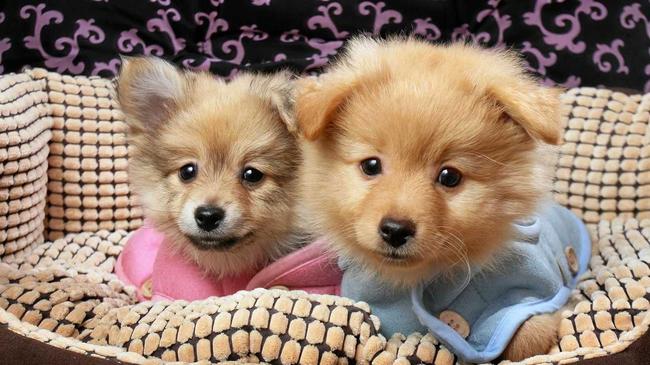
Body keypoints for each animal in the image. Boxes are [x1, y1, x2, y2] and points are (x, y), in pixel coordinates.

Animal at [294, 36, 588, 362]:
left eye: (450, 176)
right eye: (371, 165)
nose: (395, 230)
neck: (416, 279)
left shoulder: (525, 294)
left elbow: (527, 336)